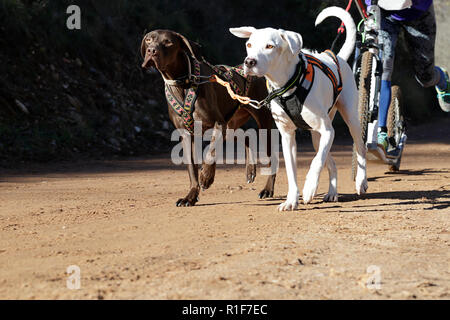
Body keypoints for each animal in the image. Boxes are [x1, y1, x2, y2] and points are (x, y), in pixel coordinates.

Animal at [142, 29, 274, 205]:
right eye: (148, 40)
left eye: (168, 42)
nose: (151, 51)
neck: (183, 82)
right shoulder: (186, 134)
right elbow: (192, 169)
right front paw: (191, 196)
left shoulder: (218, 124)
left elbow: (210, 152)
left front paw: (206, 177)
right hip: (230, 125)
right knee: (246, 136)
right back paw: (250, 170)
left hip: (261, 123)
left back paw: (268, 189)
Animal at [230, 6, 368, 211]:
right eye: (249, 44)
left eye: (270, 46)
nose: (249, 62)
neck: (287, 85)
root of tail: (338, 58)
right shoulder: (288, 137)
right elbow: (292, 172)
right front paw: (291, 200)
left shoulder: (328, 131)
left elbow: (316, 162)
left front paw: (310, 188)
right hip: (317, 138)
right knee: (331, 162)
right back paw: (332, 192)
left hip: (350, 120)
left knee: (360, 148)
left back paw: (361, 181)